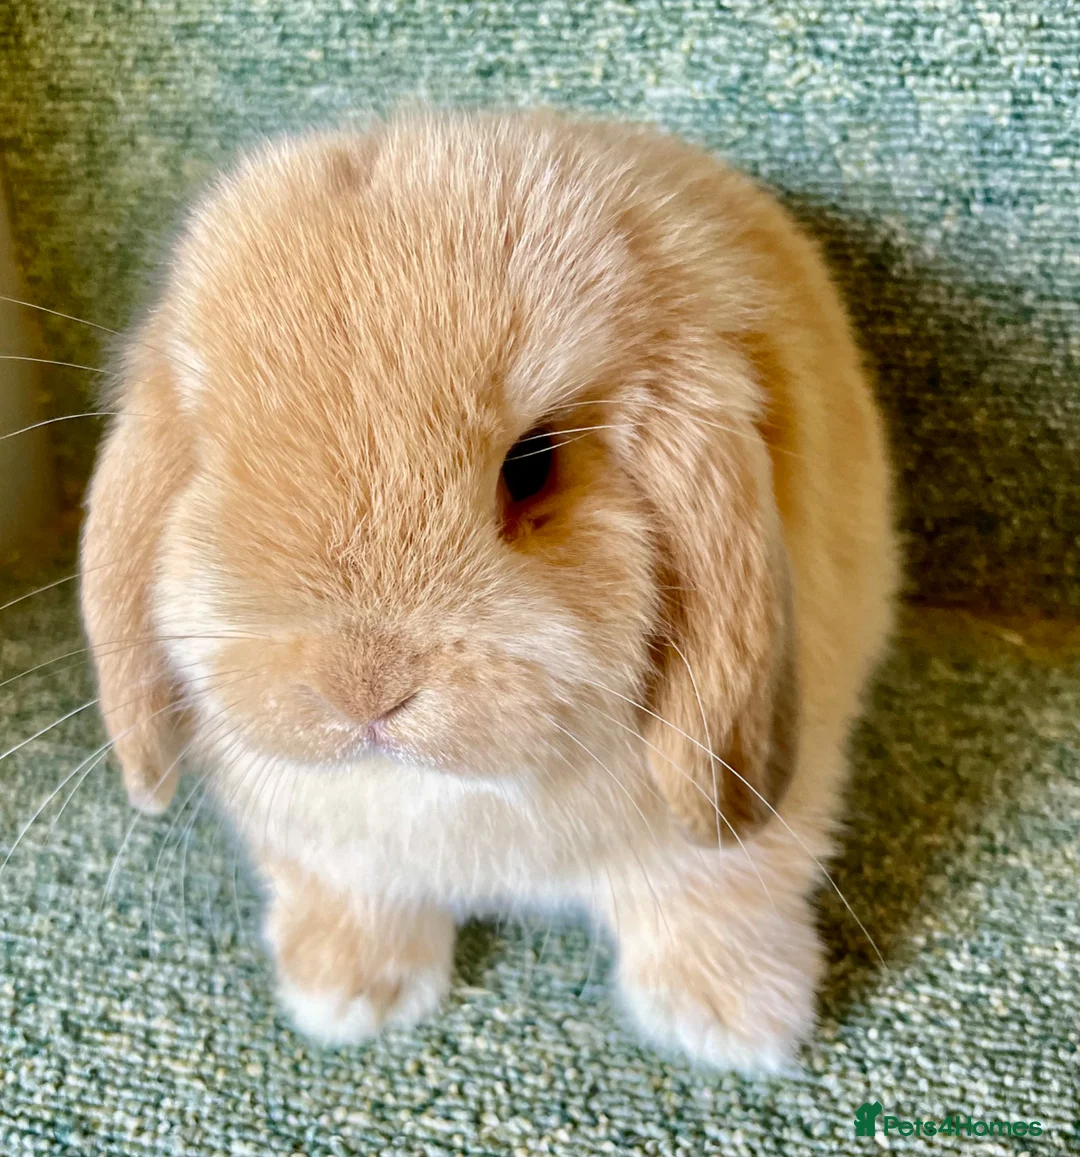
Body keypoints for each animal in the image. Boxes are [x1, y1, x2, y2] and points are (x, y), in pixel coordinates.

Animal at [79, 108, 898, 1073]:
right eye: (216, 465)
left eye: (532, 464)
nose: (364, 690)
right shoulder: (330, 847)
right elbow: (356, 894)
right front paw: (345, 994)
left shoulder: (749, 812)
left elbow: (719, 890)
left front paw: (737, 1025)